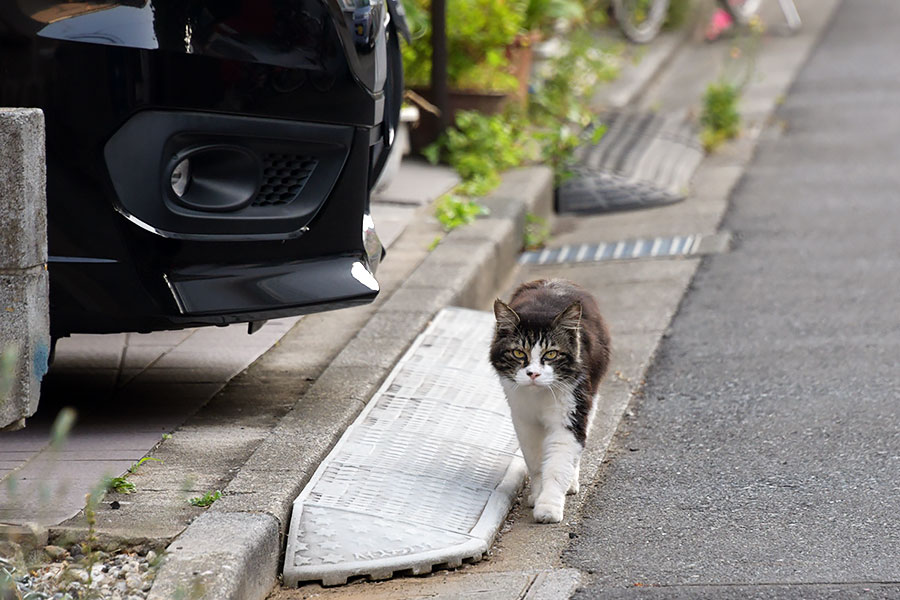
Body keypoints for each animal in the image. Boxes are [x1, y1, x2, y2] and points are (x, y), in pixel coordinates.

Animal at [492, 278, 612, 524]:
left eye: (551, 354)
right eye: (518, 353)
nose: (533, 374)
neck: (539, 395)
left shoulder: (570, 414)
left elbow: (558, 464)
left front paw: (548, 508)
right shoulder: (524, 421)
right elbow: (536, 462)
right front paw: (537, 495)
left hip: (590, 392)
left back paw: (572, 483)